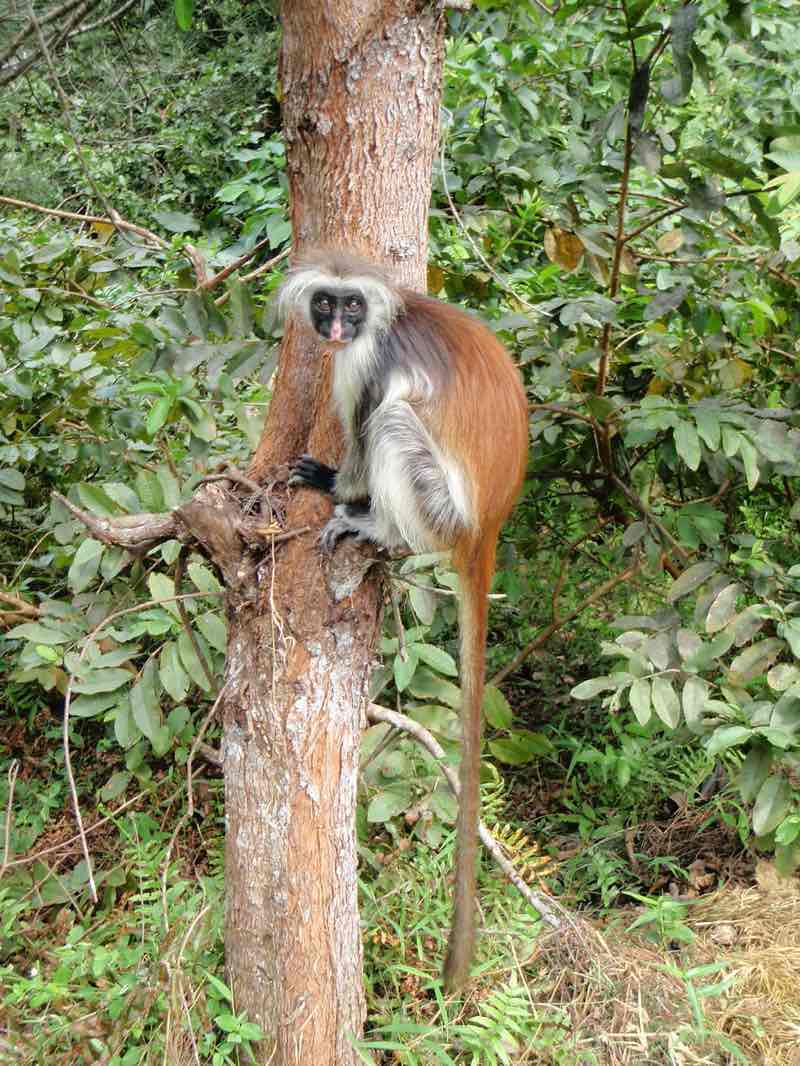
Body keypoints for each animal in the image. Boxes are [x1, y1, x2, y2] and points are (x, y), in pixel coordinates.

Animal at [279, 249, 529, 989]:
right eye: (325, 302)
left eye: (352, 307)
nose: (335, 328)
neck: (389, 317)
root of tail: (486, 529)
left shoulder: (369, 360)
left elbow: (366, 435)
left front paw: (339, 486)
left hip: (438, 505)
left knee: (391, 422)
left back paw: (378, 529)